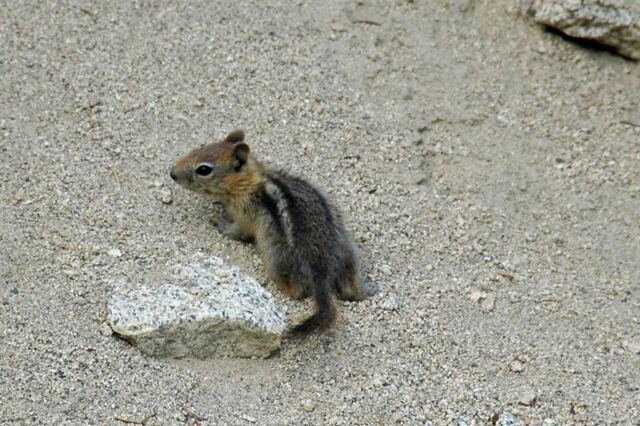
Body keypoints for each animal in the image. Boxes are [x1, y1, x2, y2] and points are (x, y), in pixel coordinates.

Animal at [170, 129, 376, 336]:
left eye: (204, 170)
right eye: (198, 148)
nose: (172, 173)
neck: (248, 183)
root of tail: (322, 272)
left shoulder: (245, 212)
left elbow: (238, 231)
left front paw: (219, 222)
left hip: (278, 260)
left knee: (297, 292)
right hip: (348, 259)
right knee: (350, 292)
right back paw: (367, 289)